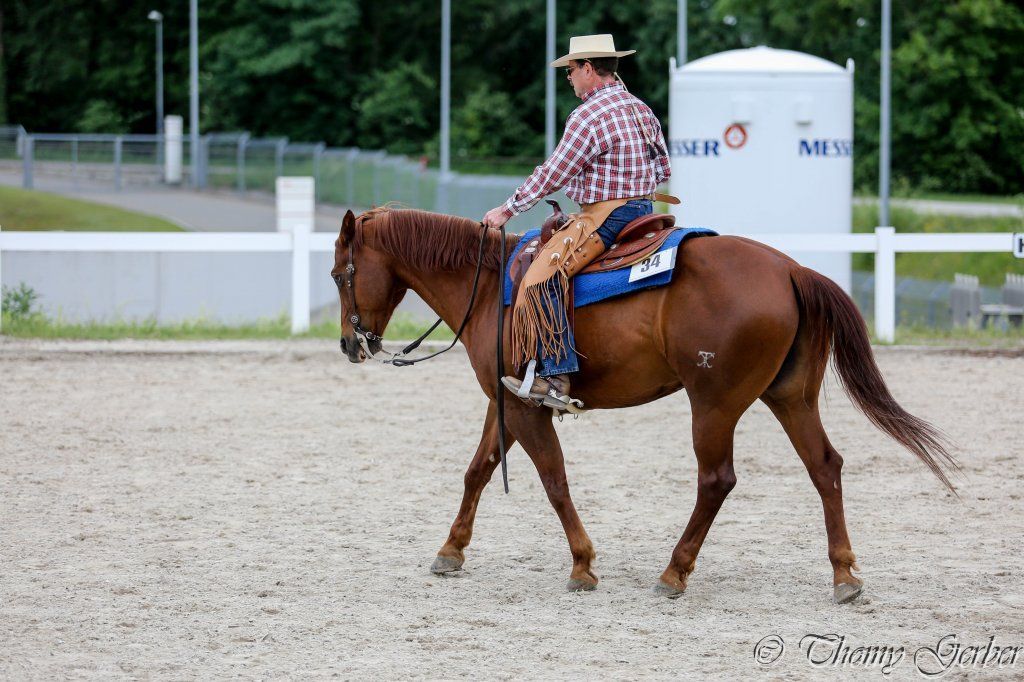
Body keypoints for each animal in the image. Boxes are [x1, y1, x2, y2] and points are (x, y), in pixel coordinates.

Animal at [330, 206, 959, 603]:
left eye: (339, 273)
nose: (349, 344)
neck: (486, 288)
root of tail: (790, 269)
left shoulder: (529, 410)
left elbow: (554, 479)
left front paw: (582, 564)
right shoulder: (506, 400)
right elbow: (479, 470)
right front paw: (451, 550)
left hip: (714, 405)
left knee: (717, 480)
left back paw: (674, 573)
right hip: (790, 397)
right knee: (825, 467)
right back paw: (844, 576)